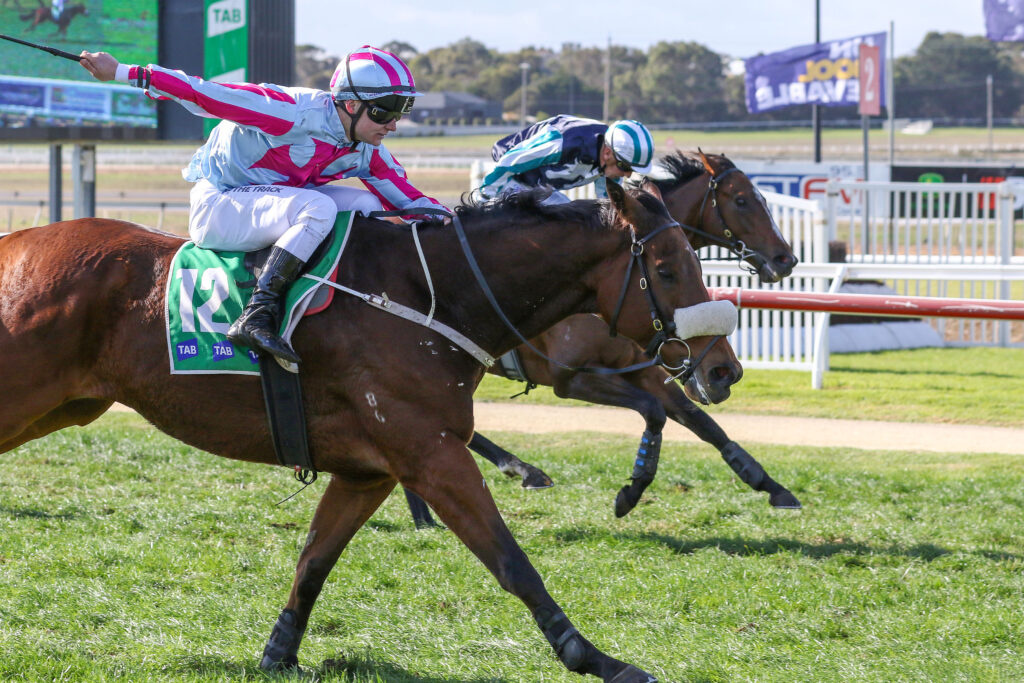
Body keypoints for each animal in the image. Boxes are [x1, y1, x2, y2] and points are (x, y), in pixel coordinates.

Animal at [0, 181, 741, 681]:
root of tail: (13, 243)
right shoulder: (431, 455)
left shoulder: (370, 469)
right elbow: (514, 563)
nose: (724, 367)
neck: (426, 294)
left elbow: (314, 561)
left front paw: (279, 654)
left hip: (63, 406)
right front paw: (597, 658)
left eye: (694, 259)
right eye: (667, 268)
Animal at [402, 151, 798, 528]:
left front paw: (770, 485)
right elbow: (653, 410)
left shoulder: (641, 368)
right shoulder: (571, 378)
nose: (787, 259)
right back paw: (512, 474)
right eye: (742, 200)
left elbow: (700, 421)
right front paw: (632, 489)